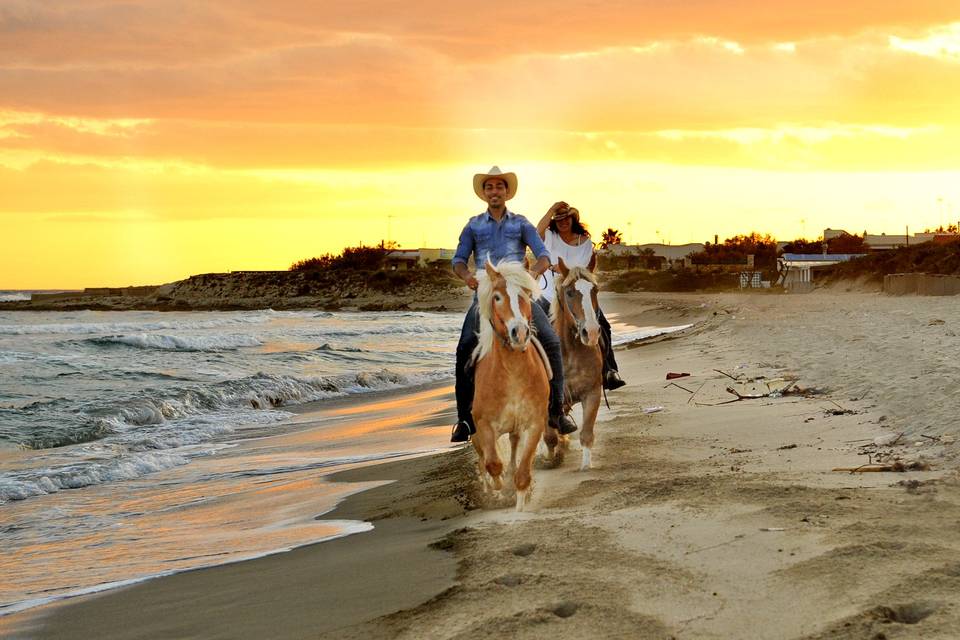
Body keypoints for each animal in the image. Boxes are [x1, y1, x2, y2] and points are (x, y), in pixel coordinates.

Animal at [470, 260, 552, 510]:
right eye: (497, 297)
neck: (512, 372)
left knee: (514, 446)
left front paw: (518, 500)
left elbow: (522, 474)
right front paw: (499, 488)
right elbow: (493, 464)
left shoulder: (534, 424)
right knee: (483, 461)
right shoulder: (485, 425)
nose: (520, 333)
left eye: (526, 294)